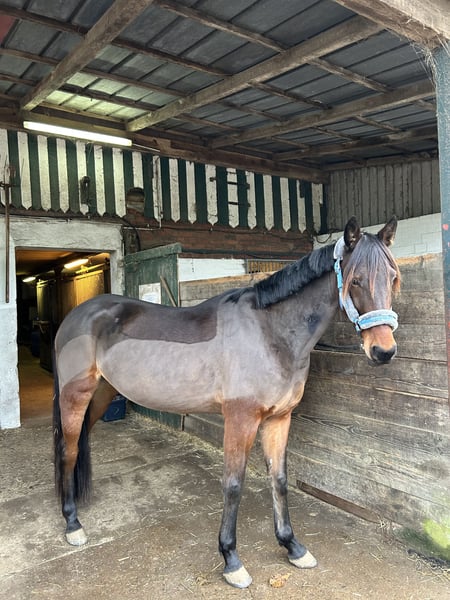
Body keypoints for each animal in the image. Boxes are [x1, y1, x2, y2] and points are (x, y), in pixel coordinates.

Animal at [53, 216, 400, 588]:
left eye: (393, 278)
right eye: (356, 280)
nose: (383, 351)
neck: (270, 333)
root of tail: (75, 317)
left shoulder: (279, 419)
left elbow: (279, 479)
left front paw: (292, 546)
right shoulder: (240, 420)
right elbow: (233, 486)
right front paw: (231, 559)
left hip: (101, 394)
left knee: (80, 443)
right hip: (76, 394)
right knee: (68, 450)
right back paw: (72, 523)